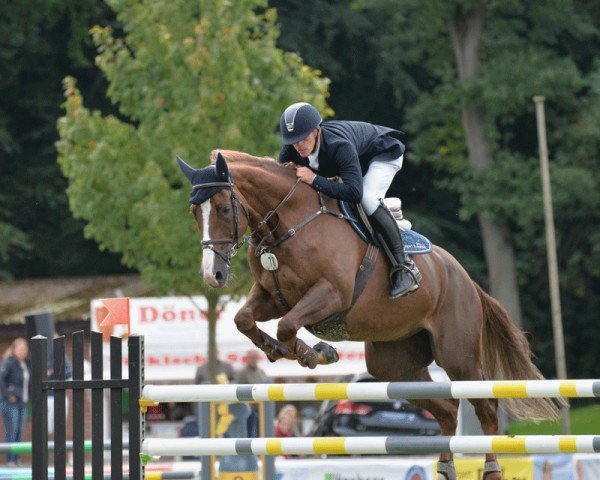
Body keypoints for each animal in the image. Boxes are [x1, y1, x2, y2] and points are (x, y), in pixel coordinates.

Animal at [177, 150, 556, 480]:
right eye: (194, 213)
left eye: (223, 209)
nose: (213, 275)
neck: (288, 223)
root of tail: (468, 280)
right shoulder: (273, 297)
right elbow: (245, 319)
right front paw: (279, 350)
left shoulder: (331, 294)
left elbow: (287, 325)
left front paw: (316, 354)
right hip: (395, 364)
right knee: (446, 411)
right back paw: (446, 467)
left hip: (458, 356)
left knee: (486, 408)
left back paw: (490, 468)